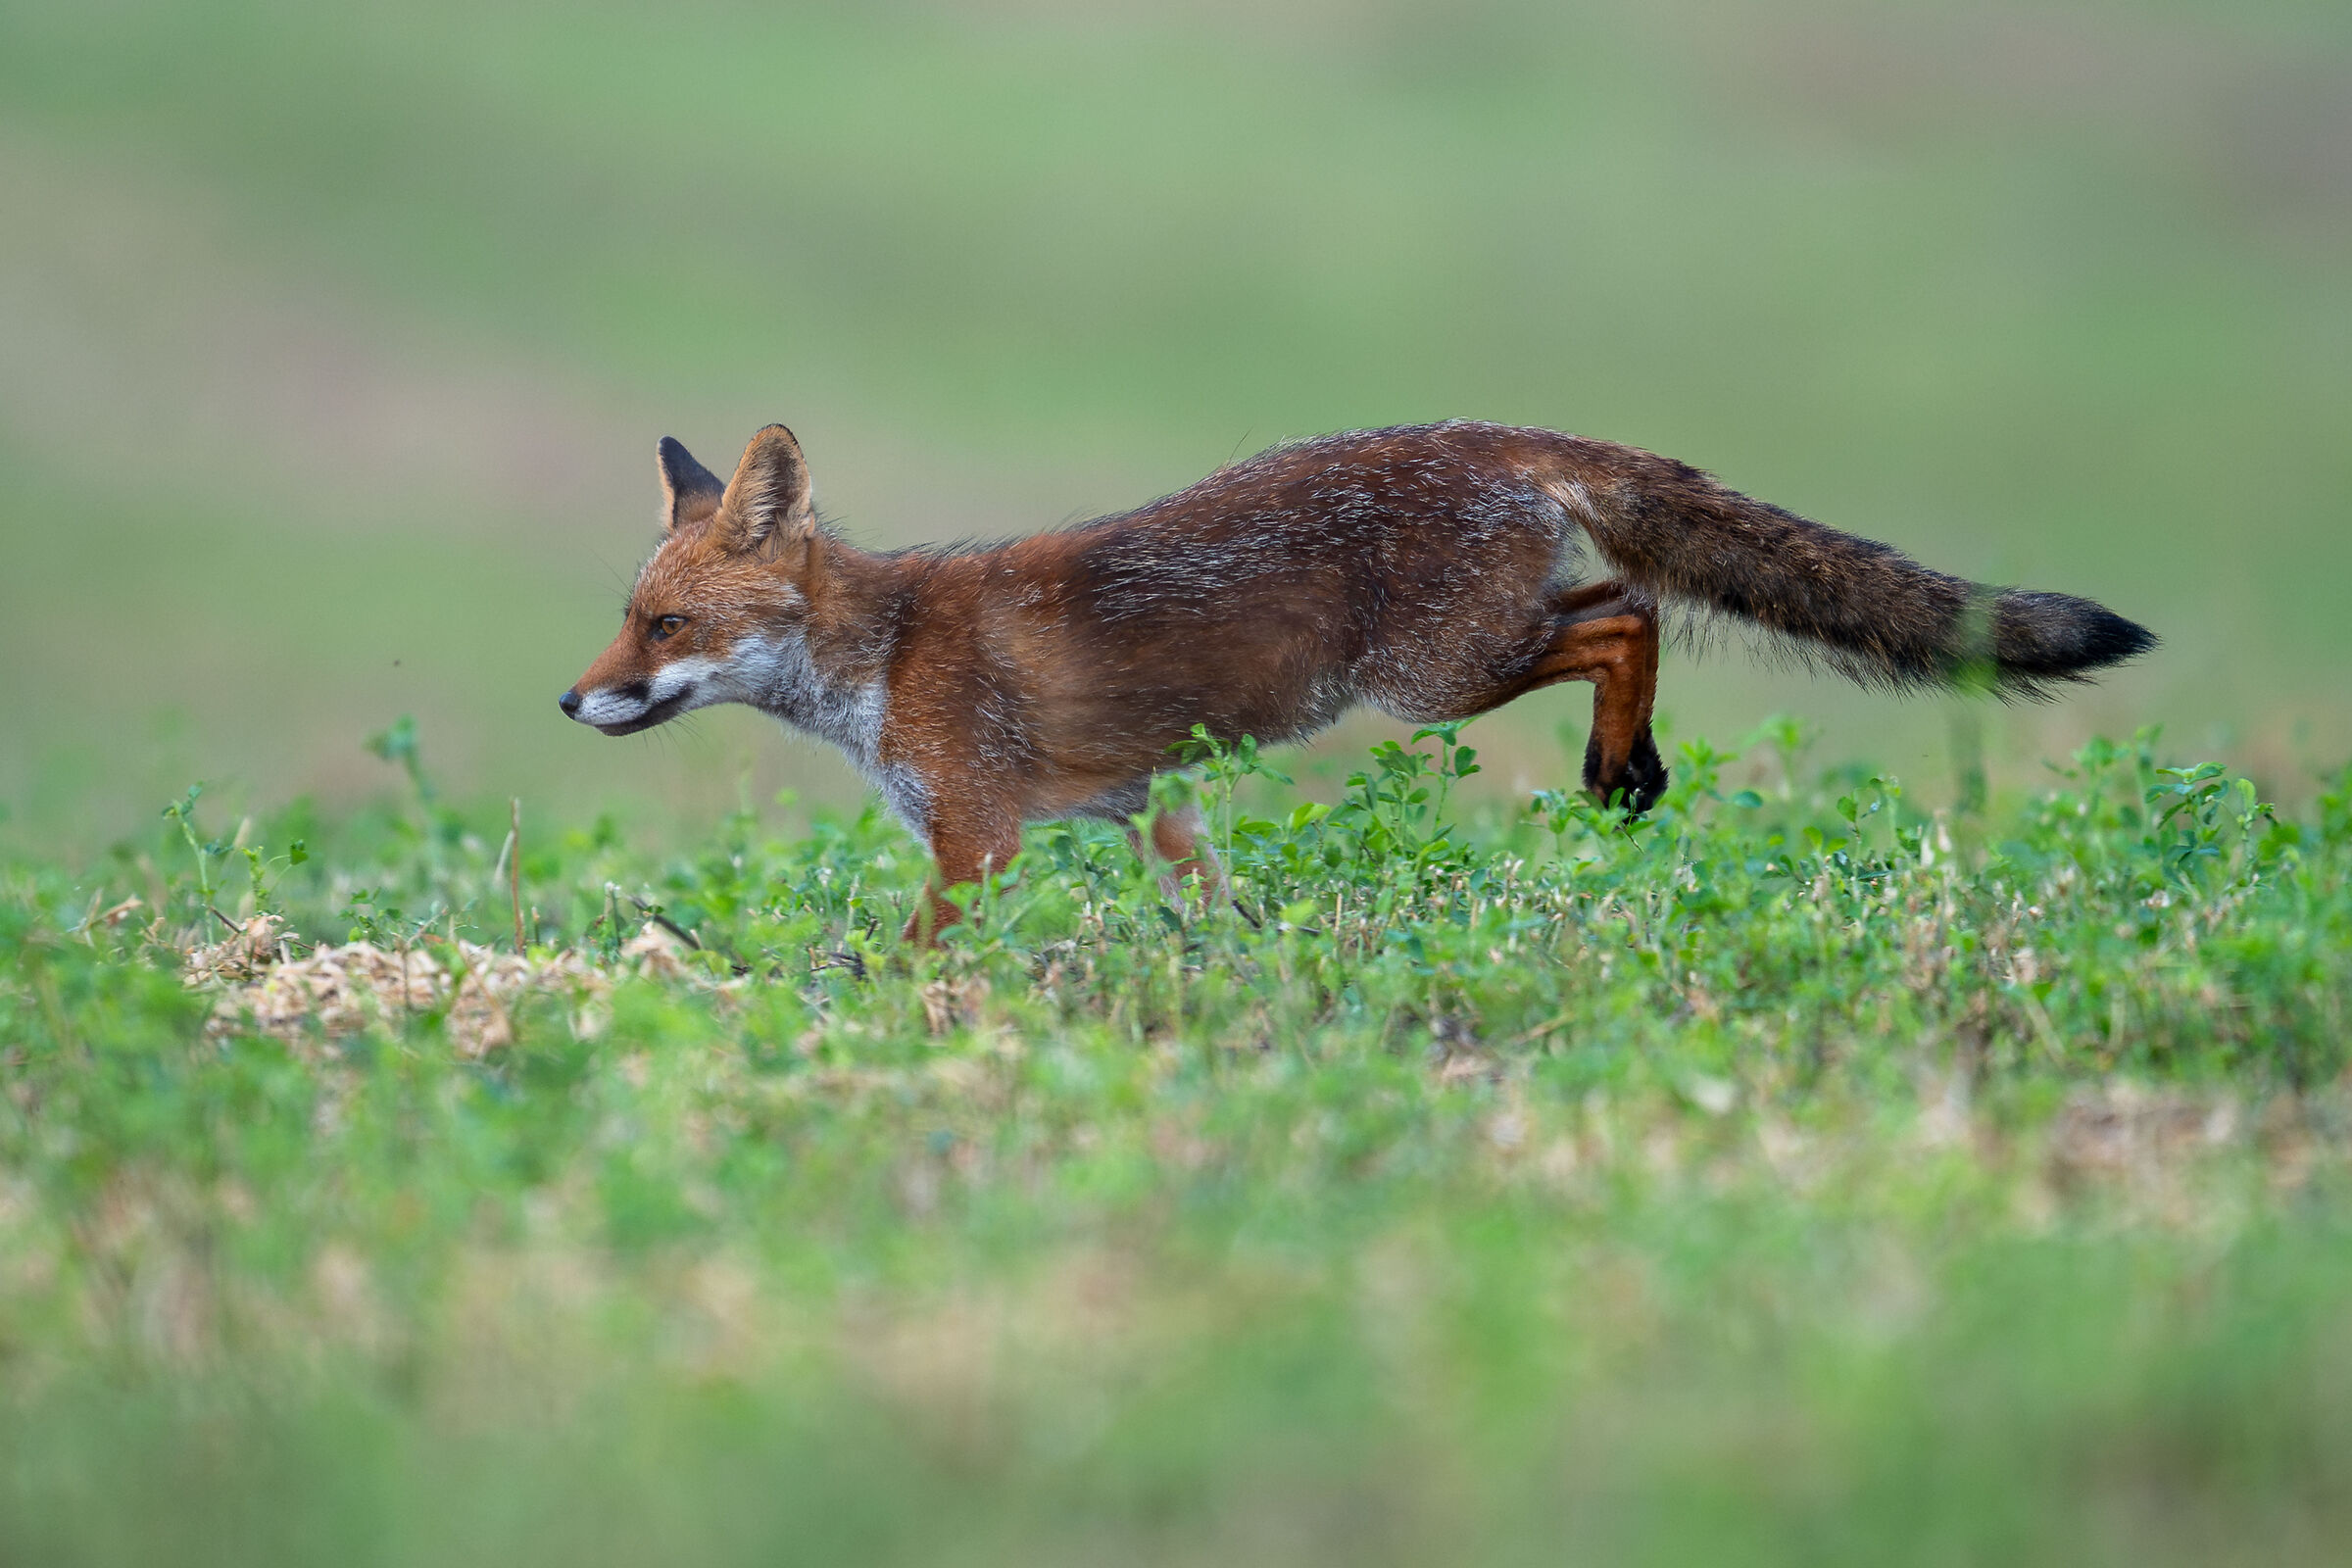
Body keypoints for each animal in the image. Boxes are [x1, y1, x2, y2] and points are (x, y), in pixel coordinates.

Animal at [562, 420, 2153, 941]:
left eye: (662, 625)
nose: (569, 705)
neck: (882, 658)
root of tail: (1497, 433)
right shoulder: (1154, 808)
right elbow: (1218, 908)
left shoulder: (978, 839)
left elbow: (910, 961)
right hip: (1467, 656)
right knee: (1626, 602)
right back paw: (1631, 773)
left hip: (1437, 677)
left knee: (1629, 613)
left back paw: (1617, 773)